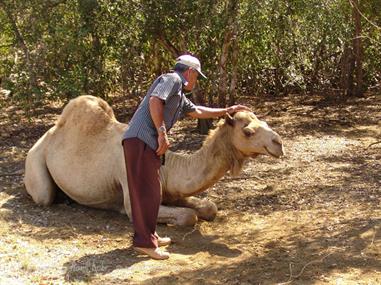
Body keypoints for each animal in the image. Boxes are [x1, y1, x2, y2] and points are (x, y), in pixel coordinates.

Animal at [23, 95, 284, 224]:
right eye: (247, 131)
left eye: (265, 122)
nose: (278, 143)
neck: (167, 167)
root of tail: (47, 134)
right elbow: (188, 216)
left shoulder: (173, 192)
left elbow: (209, 207)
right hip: (35, 161)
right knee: (44, 195)